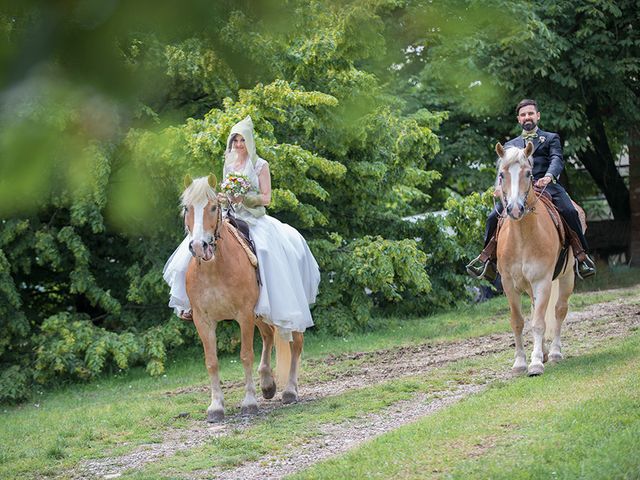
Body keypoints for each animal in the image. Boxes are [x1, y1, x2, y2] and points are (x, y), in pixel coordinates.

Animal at [181, 174, 304, 422]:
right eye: (187, 208)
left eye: (213, 207)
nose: (199, 246)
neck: (215, 268)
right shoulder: (203, 320)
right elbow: (211, 361)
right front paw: (216, 407)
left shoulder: (244, 315)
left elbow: (246, 355)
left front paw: (249, 402)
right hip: (261, 315)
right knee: (268, 335)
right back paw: (267, 385)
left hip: (289, 312)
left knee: (296, 344)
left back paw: (289, 391)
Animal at [496, 141, 580, 376]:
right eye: (502, 174)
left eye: (528, 173)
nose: (515, 209)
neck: (522, 237)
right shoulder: (509, 284)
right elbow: (518, 322)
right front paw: (519, 363)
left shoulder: (542, 281)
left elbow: (539, 323)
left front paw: (534, 364)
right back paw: (543, 352)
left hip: (567, 277)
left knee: (559, 310)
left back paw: (554, 353)